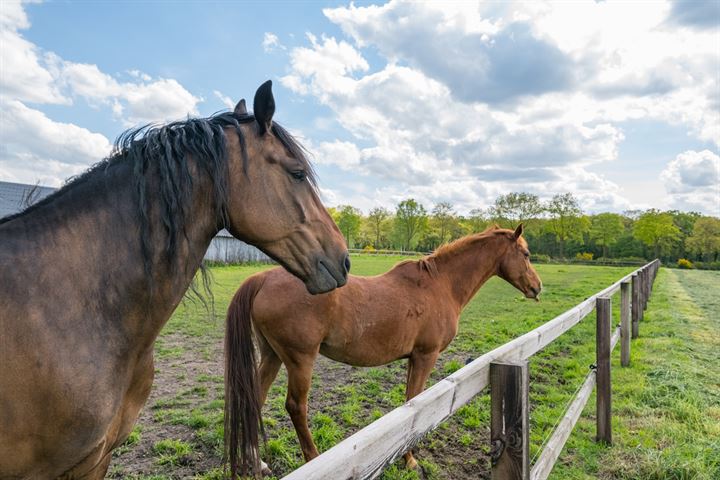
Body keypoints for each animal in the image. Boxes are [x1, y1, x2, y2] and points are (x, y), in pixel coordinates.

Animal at [225, 225, 540, 472]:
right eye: (525, 254)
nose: (537, 287)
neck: (441, 285)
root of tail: (263, 278)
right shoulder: (425, 356)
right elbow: (415, 402)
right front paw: (409, 458)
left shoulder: (414, 358)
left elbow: (408, 403)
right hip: (299, 360)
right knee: (295, 407)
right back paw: (312, 458)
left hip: (272, 356)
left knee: (255, 400)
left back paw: (257, 463)